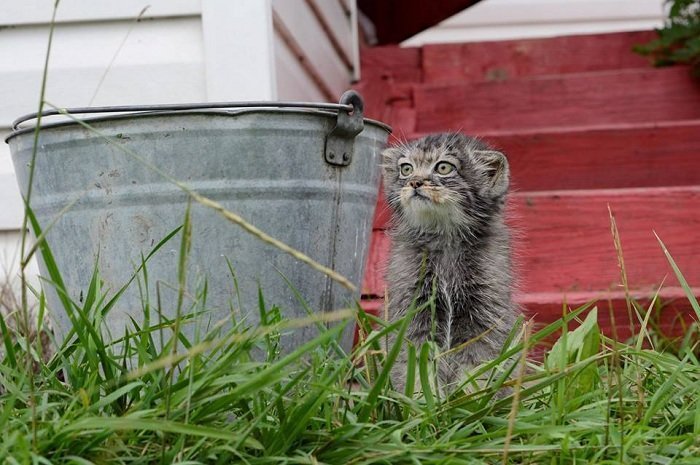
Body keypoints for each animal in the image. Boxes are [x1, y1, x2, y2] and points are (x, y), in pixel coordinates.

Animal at [382, 132, 520, 390]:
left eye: (444, 167)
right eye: (406, 169)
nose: (415, 182)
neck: (445, 240)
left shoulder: (485, 317)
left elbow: (476, 371)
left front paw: (469, 400)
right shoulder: (412, 313)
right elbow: (418, 370)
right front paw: (421, 401)